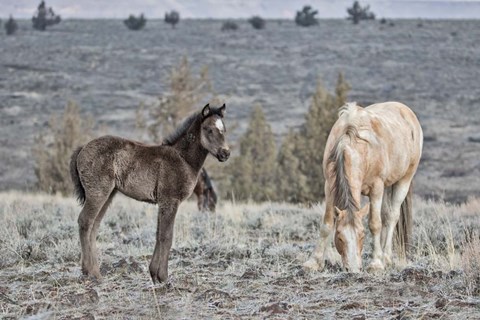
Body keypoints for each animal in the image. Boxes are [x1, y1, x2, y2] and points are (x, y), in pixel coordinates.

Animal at [69, 104, 231, 282]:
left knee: (94, 226)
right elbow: (167, 236)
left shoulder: (163, 203)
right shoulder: (170, 201)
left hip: (108, 195)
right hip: (98, 193)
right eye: (209, 129)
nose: (225, 153)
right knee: (85, 221)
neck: (183, 159)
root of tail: (82, 148)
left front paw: (154, 274)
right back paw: (90, 273)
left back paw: (96, 272)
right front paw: (164, 277)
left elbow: (159, 234)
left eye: (224, 129)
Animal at [306, 102, 422, 272]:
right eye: (339, 236)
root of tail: (406, 110)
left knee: (391, 216)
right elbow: (326, 223)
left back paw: (386, 257)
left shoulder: (377, 187)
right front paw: (314, 262)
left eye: (362, 235)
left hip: (404, 180)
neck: (350, 146)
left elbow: (374, 224)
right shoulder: (329, 186)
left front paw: (376, 263)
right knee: (386, 215)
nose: (353, 269)